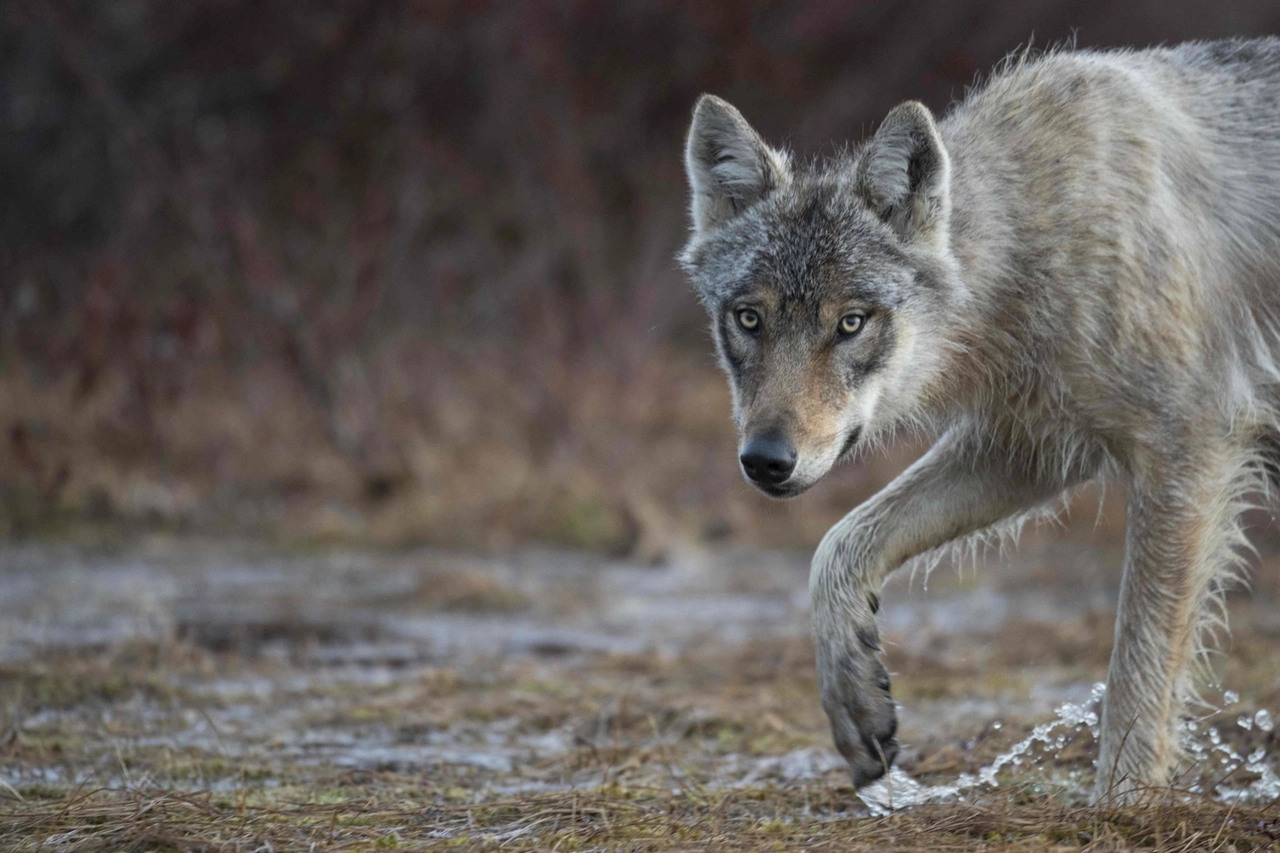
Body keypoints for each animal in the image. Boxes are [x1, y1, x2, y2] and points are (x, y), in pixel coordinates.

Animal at [680, 38, 1280, 799]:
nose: (764, 459)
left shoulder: (1188, 450)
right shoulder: (1029, 448)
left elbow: (1137, 668)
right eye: (748, 318)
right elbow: (837, 548)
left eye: (851, 323)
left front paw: (1120, 804)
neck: (1038, 238)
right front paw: (856, 704)